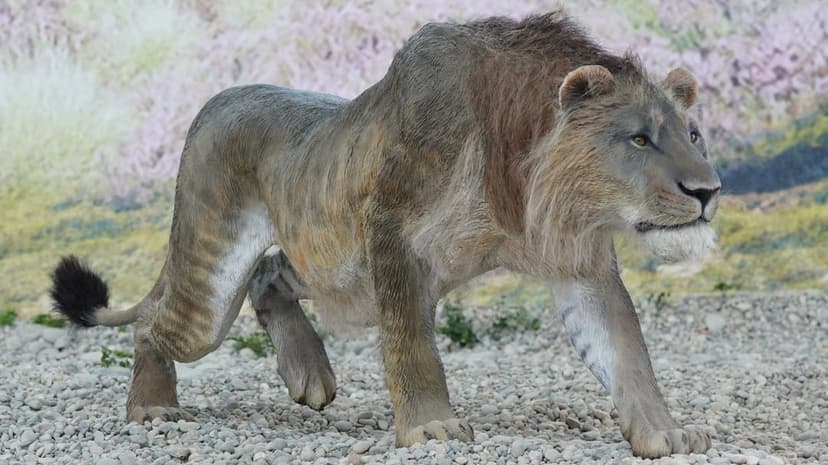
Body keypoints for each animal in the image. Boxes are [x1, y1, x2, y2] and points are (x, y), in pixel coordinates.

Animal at [50, 12, 721, 458]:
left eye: (693, 135)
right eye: (638, 139)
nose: (709, 191)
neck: (520, 168)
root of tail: (214, 101)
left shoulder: (579, 260)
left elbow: (625, 351)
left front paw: (665, 433)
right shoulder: (391, 231)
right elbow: (411, 343)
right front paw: (432, 429)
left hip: (338, 270)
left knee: (270, 274)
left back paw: (308, 374)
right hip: (216, 283)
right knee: (154, 323)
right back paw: (152, 406)